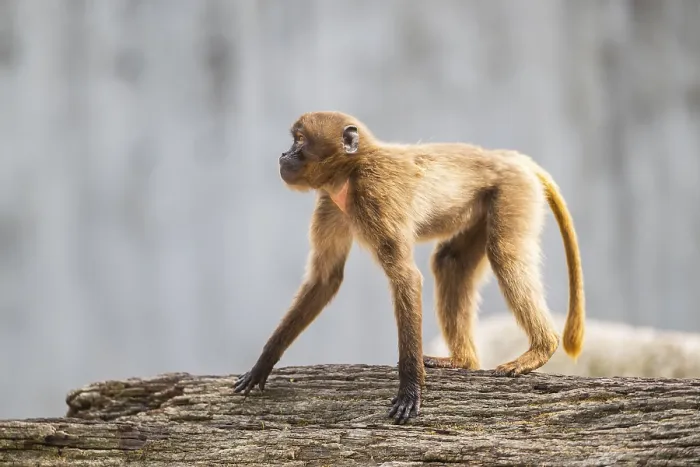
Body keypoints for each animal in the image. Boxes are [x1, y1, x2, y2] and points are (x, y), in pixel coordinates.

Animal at [234, 111, 585, 423]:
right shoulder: (331, 205)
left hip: (512, 191)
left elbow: (405, 278)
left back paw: (541, 349)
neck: (352, 171)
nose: (284, 155)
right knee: (450, 262)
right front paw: (263, 364)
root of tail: (510, 158)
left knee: (504, 254)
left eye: (299, 140)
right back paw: (463, 361)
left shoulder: (375, 196)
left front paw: (410, 389)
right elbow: (324, 279)